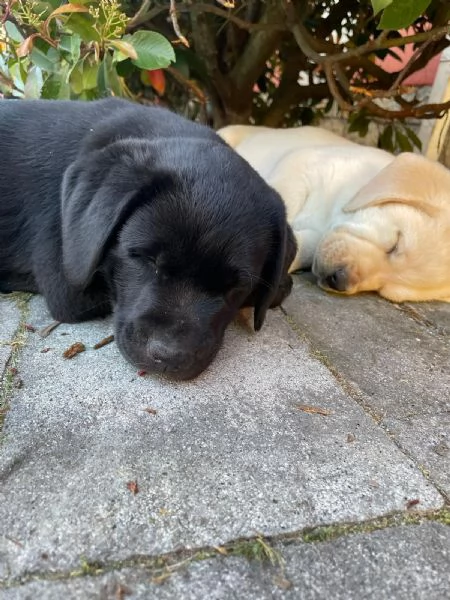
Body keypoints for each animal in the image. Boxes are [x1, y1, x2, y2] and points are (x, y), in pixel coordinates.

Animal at [219, 125, 450, 302]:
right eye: (395, 244)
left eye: (384, 291)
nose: (339, 280)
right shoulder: (304, 164)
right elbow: (282, 200)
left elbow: (303, 246)